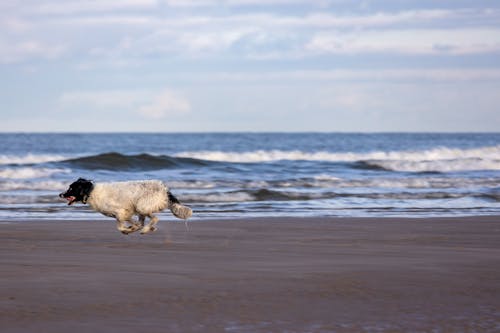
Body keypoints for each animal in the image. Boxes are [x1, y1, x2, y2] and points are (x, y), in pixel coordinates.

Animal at [58, 178, 191, 235]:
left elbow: (120, 227)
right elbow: (132, 223)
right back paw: (147, 228)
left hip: (142, 206)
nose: (60, 194)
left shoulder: (120, 212)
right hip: (140, 208)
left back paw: (145, 230)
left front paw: (128, 230)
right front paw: (132, 228)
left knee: (154, 218)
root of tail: (164, 189)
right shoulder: (124, 213)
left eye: (71, 188)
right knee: (145, 220)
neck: (91, 191)